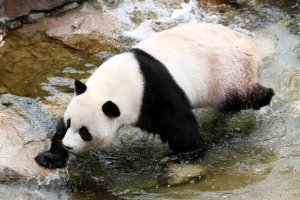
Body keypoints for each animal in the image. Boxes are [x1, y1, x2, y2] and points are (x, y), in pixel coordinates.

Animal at [34, 23, 274, 169]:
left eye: (85, 132)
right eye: (71, 123)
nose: (69, 145)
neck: (119, 83)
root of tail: (251, 46)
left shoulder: (157, 92)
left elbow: (180, 126)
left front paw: (184, 155)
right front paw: (49, 157)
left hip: (230, 74)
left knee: (242, 98)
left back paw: (265, 95)